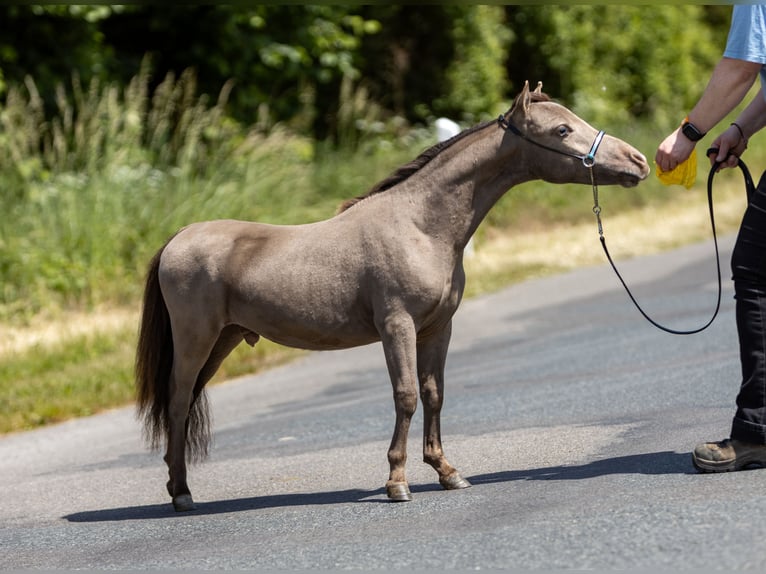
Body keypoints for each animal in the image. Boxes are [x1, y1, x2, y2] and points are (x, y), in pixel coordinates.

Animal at [136, 81, 650, 512]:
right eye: (562, 129)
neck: (420, 225)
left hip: (222, 340)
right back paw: (182, 494)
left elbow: (434, 394)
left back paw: (178, 487)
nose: (639, 161)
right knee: (178, 402)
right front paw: (397, 482)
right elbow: (406, 396)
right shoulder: (396, 326)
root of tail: (178, 238)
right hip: (196, 340)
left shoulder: (437, 328)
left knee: (185, 404)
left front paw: (447, 471)